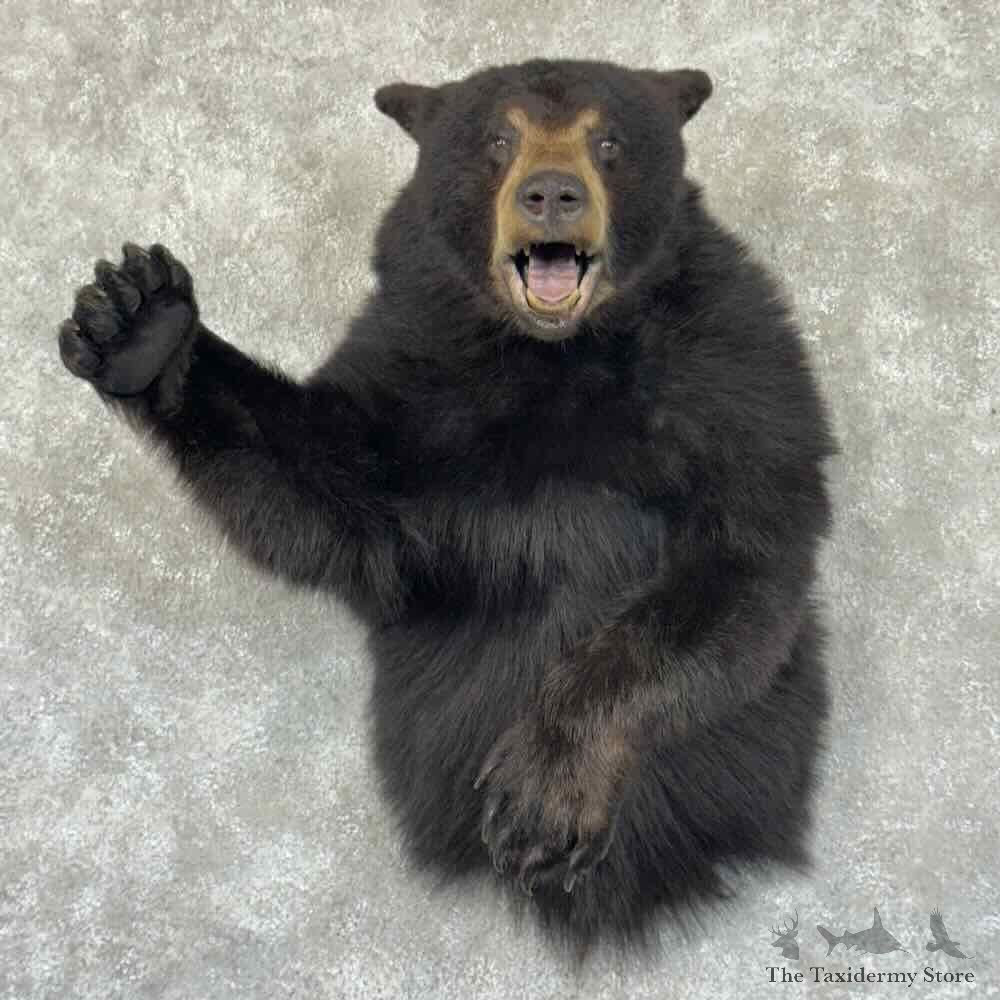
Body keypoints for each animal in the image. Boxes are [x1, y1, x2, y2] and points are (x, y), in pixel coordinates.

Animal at [58, 59, 836, 958]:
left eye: (609, 142)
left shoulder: (734, 374)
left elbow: (736, 569)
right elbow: (332, 497)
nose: (552, 193)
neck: (556, 358)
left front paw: (540, 797)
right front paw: (140, 325)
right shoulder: (415, 378)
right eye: (497, 139)